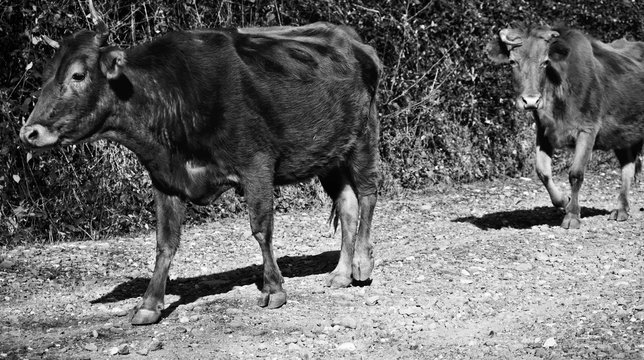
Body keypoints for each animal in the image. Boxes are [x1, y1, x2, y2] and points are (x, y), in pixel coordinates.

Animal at [18, 1, 382, 324]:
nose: (29, 132)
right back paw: (341, 273)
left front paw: (273, 289)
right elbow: (165, 243)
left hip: (364, 136)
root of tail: (349, 37)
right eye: (45, 76)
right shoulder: (164, 176)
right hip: (330, 154)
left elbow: (261, 229)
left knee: (367, 194)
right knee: (347, 203)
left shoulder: (256, 164)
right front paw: (148, 304)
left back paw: (362, 264)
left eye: (78, 74)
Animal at [486, 24, 644, 228]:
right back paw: (622, 209)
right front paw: (564, 201)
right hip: (623, 135)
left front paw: (572, 215)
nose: (531, 101)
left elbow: (576, 173)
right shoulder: (544, 132)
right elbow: (543, 171)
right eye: (513, 62)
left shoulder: (588, 130)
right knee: (628, 168)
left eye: (545, 62)